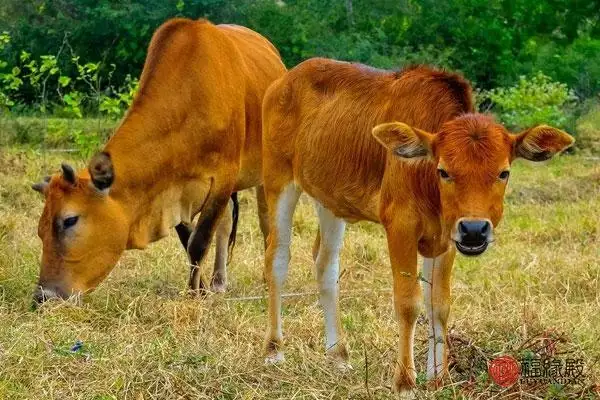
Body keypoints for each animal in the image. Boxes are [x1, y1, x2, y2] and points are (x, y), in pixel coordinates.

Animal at [30, 16, 286, 304]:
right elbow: (189, 240)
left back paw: (267, 278)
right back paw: (219, 282)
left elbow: (199, 242)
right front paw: (201, 289)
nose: (44, 295)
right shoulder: (177, 191)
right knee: (225, 224)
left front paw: (194, 294)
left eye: (69, 220)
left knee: (267, 223)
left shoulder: (223, 178)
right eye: (40, 229)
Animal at [262, 58, 572, 394]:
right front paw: (405, 382)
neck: (427, 184)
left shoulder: (448, 237)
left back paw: (338, 354)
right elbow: (408, 303)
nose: (475, 229)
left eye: (504, 172)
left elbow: (439, 304)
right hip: (278, 182)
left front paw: (438, 378)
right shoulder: (400, 227)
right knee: (277, 259)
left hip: (329, 199)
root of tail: (284, 81)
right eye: (444, 171)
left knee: (325, 265)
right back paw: (274, 350)